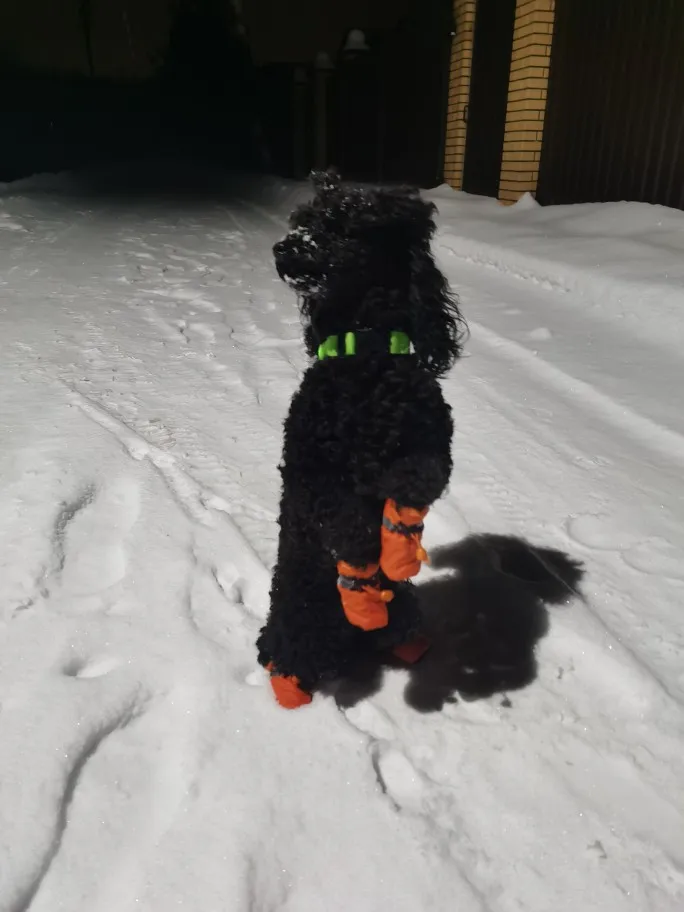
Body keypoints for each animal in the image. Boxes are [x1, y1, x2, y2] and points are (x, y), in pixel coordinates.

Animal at [256, 170, 465, 708]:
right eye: (305, 220)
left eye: (344, 225)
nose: (284, 248)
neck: (366, 353)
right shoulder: (311, 475)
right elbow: (348, 521)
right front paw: (365, 571)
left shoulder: (433, 446)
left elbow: (418, 480)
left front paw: (399, 543)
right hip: (299, 612)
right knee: (286, 653)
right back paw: (291, 681)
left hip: (405, 604)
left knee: (397, 624)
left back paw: (407, 642)